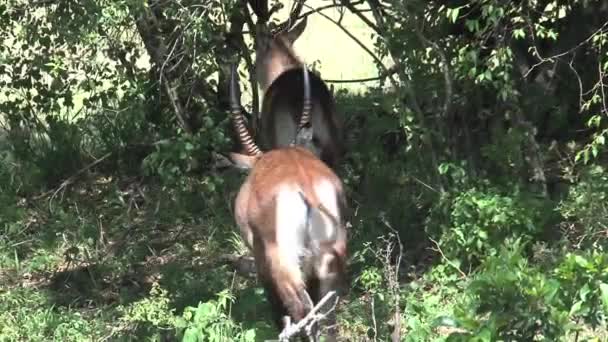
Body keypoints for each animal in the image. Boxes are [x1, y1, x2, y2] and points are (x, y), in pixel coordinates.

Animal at [228, 63, 350, 340]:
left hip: (285, 265)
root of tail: (306, 188)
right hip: (329, 262)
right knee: (325, 313)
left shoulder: (263, 262)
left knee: (302, 309)